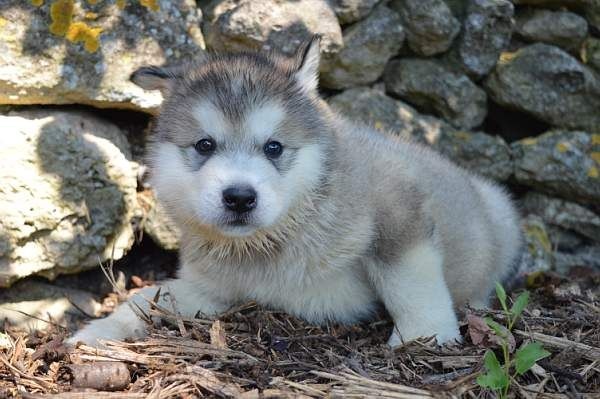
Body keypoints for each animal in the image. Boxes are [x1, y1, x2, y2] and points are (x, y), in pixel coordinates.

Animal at [69, 39, 520, 348]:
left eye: (274, 147)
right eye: (204, 145)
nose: (239, 197)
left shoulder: (398, 208)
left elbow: (409, 281)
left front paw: (424, 337)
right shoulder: (211, 287)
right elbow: (148, 297)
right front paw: (98, 331)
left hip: (500, 212)